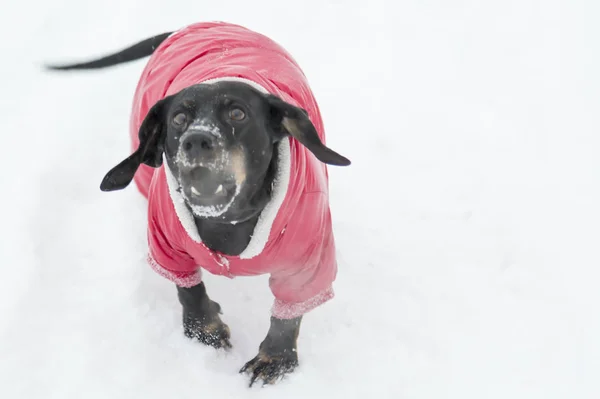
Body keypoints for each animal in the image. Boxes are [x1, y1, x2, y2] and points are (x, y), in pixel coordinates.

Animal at [48, 21, 352, 388]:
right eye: (179, 118)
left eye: (237, 113)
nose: (196, 140)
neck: (228, 222)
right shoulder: (167, 243)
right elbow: (187, 288)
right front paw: (204, 328)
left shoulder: (307, 262)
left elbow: (289, 311)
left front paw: (275, 357)